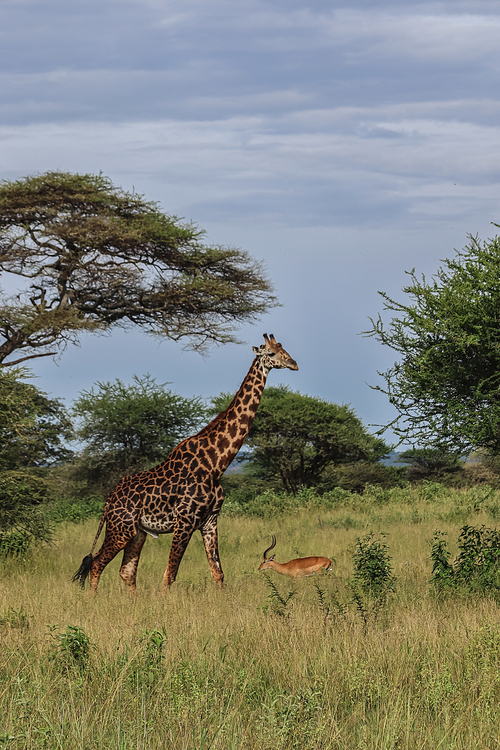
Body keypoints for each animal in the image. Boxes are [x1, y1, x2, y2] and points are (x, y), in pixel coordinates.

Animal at [70, 334, 296, 592]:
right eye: (271, 353)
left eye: (284, 349)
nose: (294, 364)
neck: (216, 464)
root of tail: (108, 501)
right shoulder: (185, 521)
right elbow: (170, 574)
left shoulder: (210, 520)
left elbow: (218, 573)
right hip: (121, 528)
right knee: (97, 563)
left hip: (137, 532)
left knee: (126, 572)